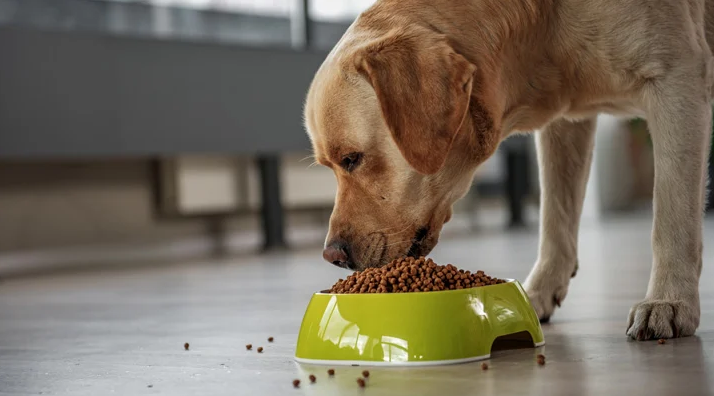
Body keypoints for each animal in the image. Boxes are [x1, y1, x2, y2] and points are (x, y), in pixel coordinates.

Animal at [302, 0, 712, 340]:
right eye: (329, 166)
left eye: (351, 158)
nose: (332, 255)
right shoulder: (567, 122)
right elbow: (555, 220)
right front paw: (537, 294)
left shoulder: (677, 80)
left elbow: (672, 217)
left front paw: (669, 301)